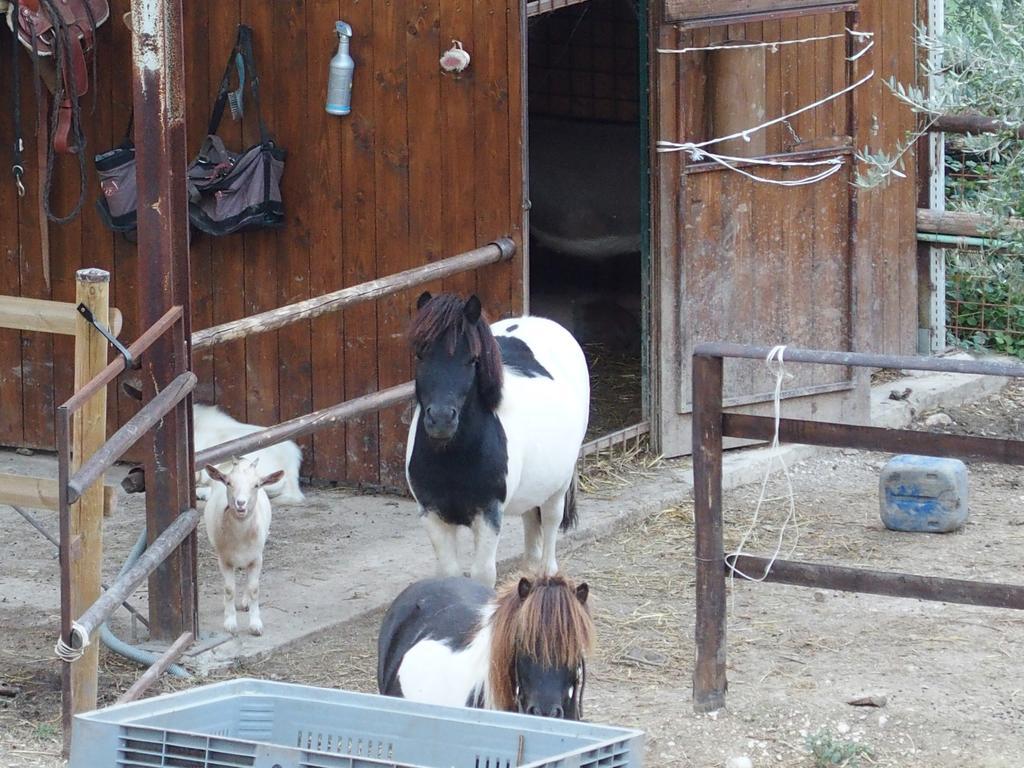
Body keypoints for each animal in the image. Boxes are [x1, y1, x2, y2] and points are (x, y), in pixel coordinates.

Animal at [203, 460, 284, 634]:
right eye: (228, 483)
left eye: (256, 485)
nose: (240, 504)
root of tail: (242, 461)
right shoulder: (224, 559)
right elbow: (229, 589)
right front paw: (230, 623)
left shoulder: (256, 559)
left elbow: (254, 589)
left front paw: (255, 625)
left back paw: (245, 602)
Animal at [403, 290, 589, 585]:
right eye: (420, 355)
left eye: (472, 359)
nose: (441, 419)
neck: (455, 458)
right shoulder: (432, 514)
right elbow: (449, 572)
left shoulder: (489, 514)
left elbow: (482, 573)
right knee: (530, 524)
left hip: (558, 485)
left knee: (550, 524)